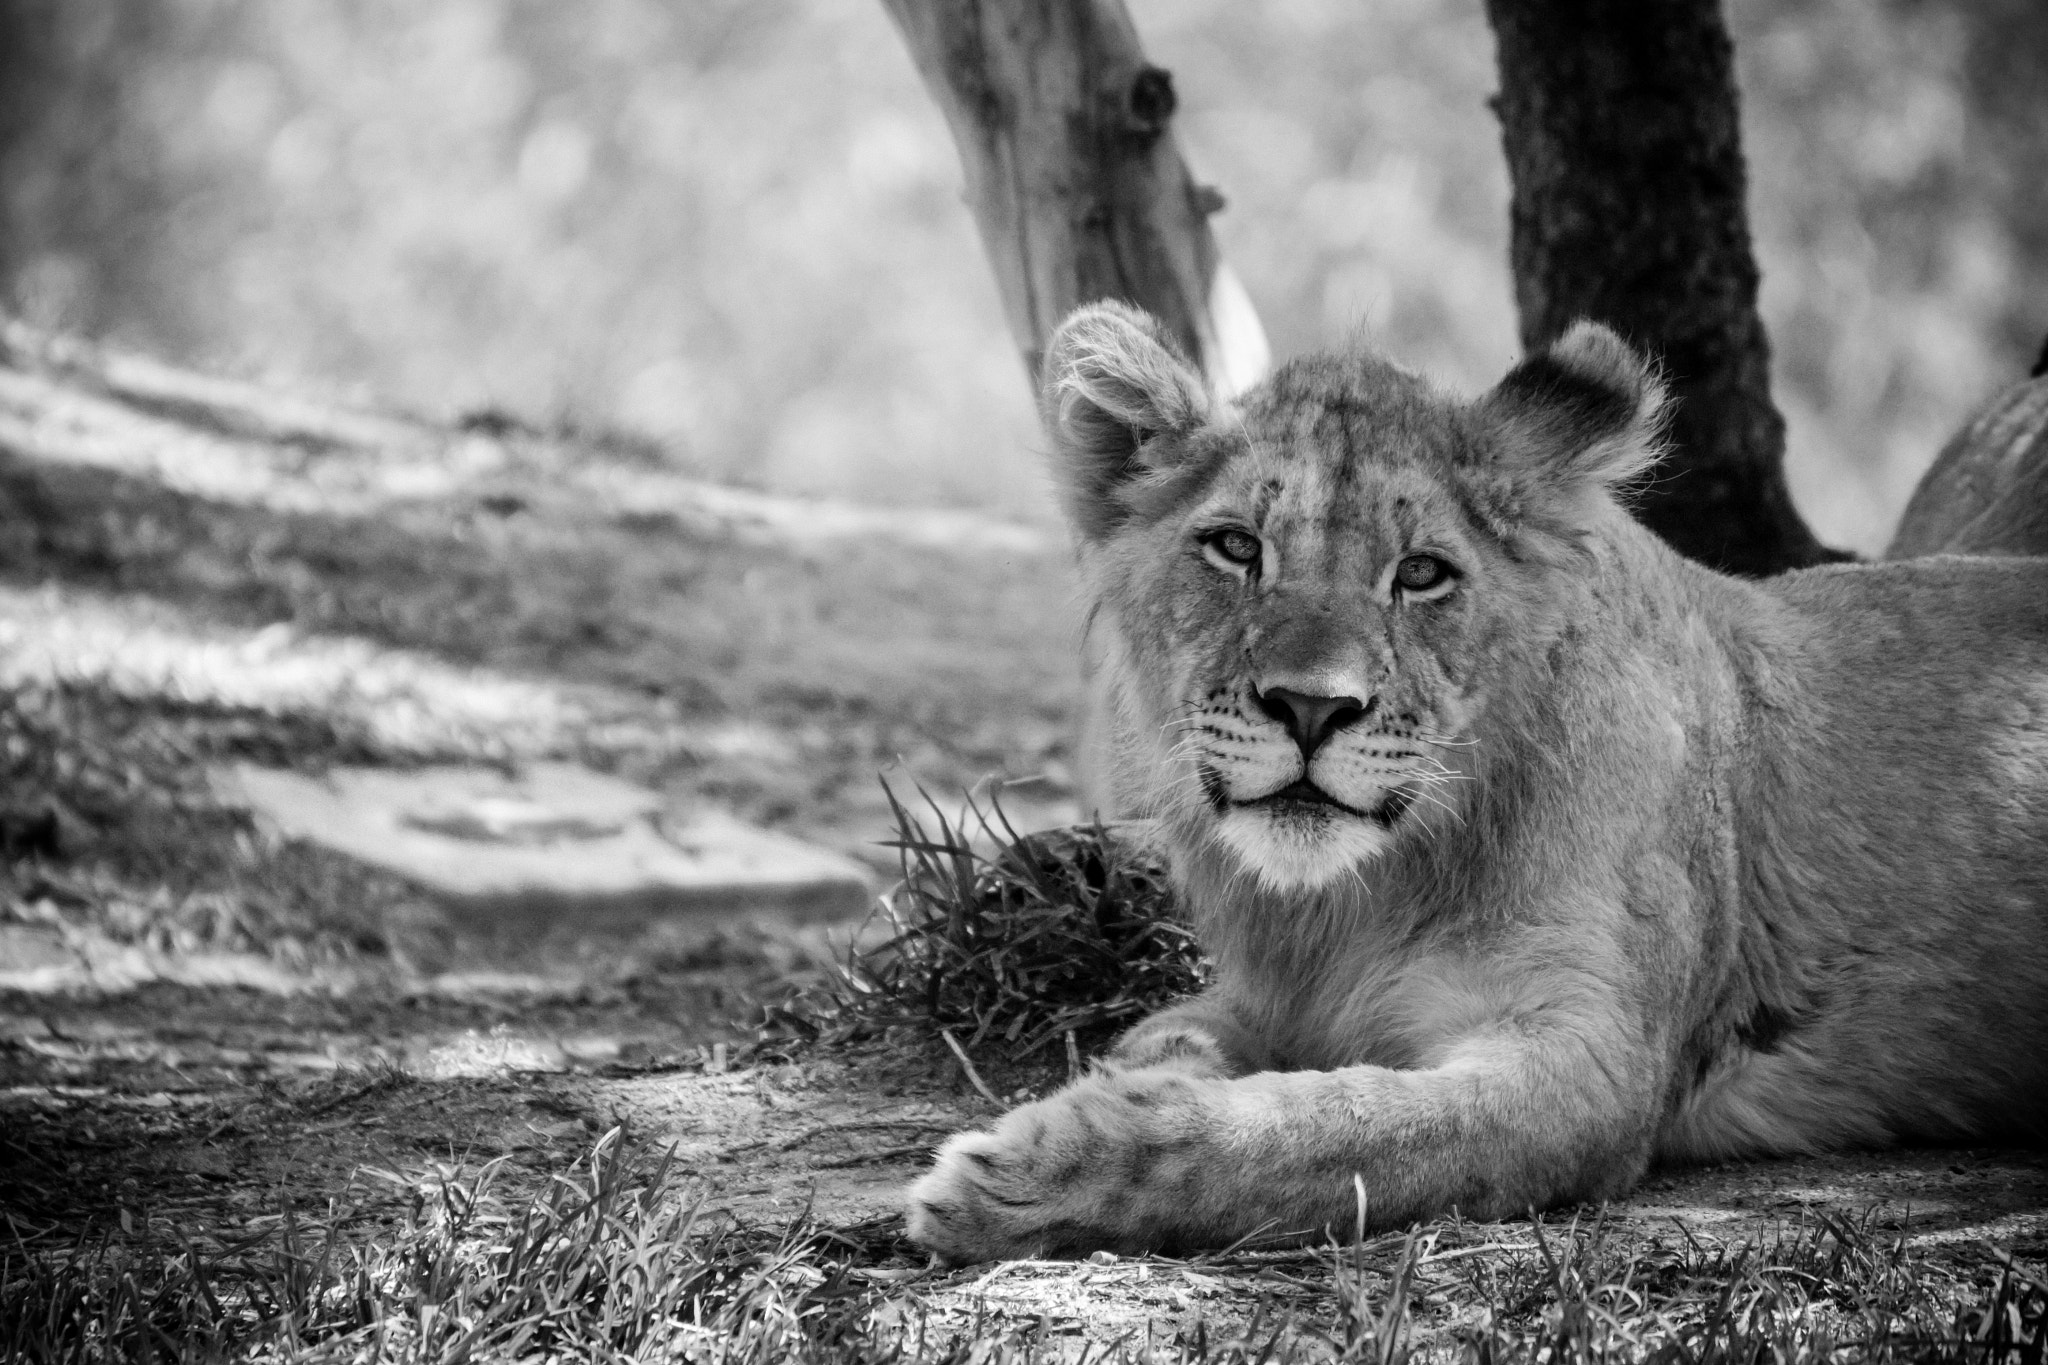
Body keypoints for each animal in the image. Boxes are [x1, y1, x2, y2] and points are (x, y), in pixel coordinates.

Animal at [904, 301, 2048, 1264]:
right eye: (1233, 547)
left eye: (1420, 574)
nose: (1309, 709)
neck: (1354, 902)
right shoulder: (1267, 996)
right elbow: (1180, 1039)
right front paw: (1119, 1084)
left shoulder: (1589, 1064)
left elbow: (1325, 1132)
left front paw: (1023, 1171)